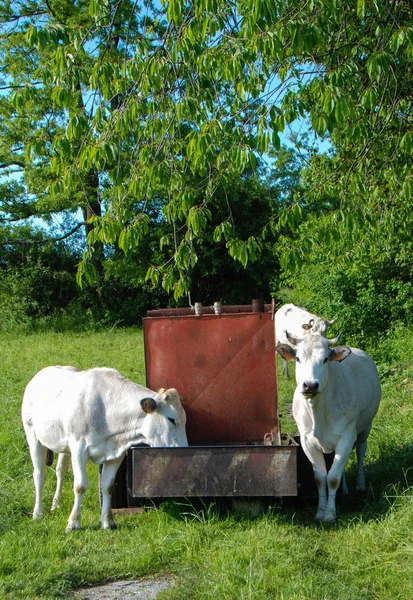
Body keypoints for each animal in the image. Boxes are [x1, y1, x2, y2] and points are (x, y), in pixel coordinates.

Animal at [23, 368, 187, 532]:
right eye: (171, 419)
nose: (184, 449)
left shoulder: (115, 455)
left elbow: (108, 486)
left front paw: (107, 521)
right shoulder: (78, 448)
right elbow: (80, 486)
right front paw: (73, 523)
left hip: (64, 446)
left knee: (60, 471)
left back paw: (55, 504)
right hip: (32, 434)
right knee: (39, 474)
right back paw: (38, 512)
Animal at [276, 330, 382, 524]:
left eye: (325, 359)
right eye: (298, 358)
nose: (310, 384)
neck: (318, 413)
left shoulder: (347, 436)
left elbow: (332, 477)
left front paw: (330, 513)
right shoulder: (307, 441)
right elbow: (320, 477)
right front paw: (320, 511)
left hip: (365, 427)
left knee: (361, 450)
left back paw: (360, 484)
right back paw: (345, 489)